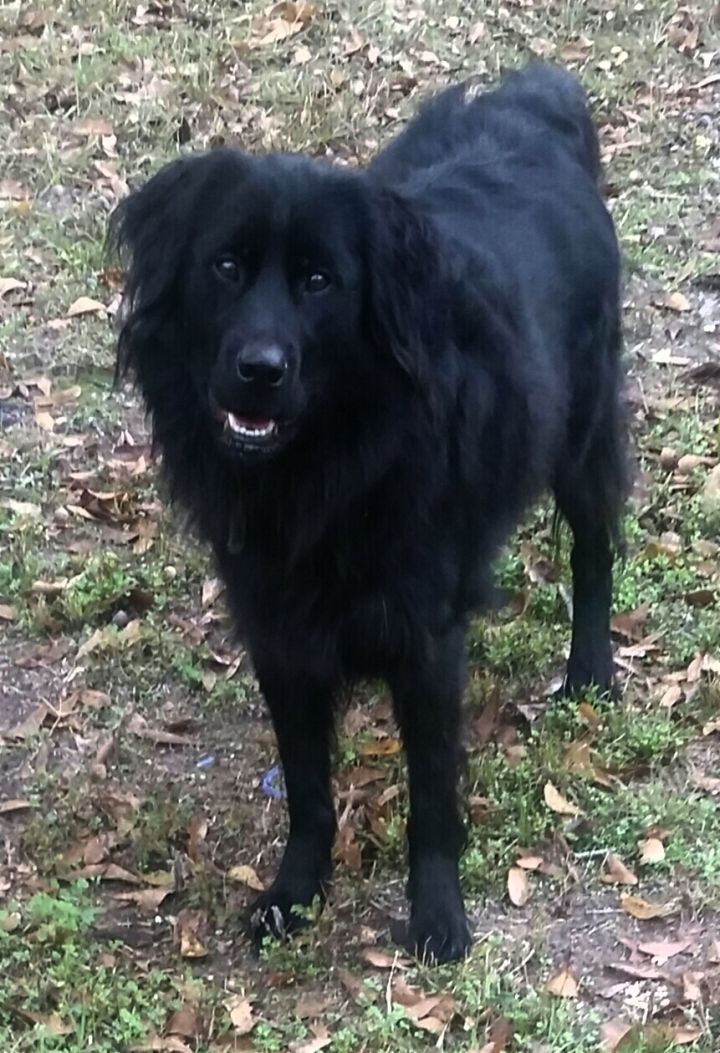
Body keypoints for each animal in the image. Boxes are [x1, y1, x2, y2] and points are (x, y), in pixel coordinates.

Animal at [111, 63, 623, 964]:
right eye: (226, 266)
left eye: (319, 281)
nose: (260, 370)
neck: (326, 464)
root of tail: (531, 104)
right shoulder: (277, 627)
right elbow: (307, 785)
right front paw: (295, 890)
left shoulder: (425, 637)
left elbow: (432, 794)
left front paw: (437, 913)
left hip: (583, 435)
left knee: (594, 547)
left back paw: (591, 668)